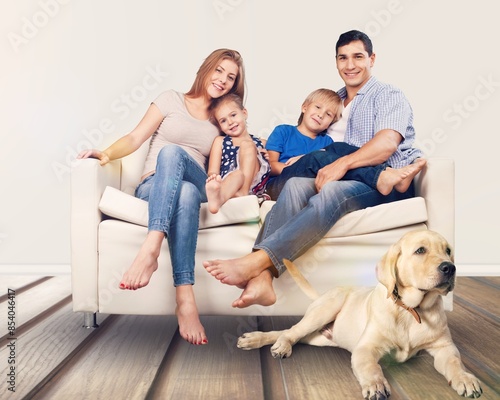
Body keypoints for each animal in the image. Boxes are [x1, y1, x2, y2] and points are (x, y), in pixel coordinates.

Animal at [238, 230, 484, 398]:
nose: (450, 268)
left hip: (319, 337)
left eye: (448, 251)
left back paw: (257, 339)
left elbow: (454, 362)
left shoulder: (444, 347)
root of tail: (321, 295)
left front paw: (465, 378)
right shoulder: (366, 348)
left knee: (289, 332)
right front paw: (376, 385)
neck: (412, 310)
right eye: (420, 250)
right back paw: (272, 343)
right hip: (326, 309)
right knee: (291, 331)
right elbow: (371, 367)